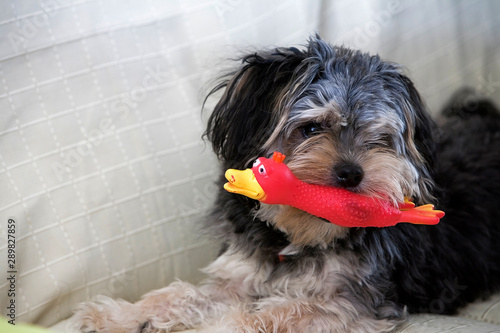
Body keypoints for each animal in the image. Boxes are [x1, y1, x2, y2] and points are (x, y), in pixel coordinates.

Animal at [75, 36, 500, 332]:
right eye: (310, 128)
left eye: (378, 140)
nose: (352, 174)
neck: (297, 239)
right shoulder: (241, 274)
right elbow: (182, 293)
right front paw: (119, 314)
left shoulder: (354, 302)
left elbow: (273, 312)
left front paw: (224, 324)